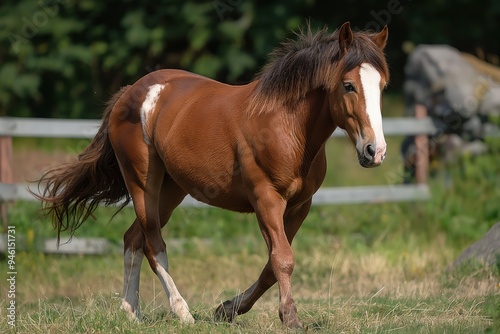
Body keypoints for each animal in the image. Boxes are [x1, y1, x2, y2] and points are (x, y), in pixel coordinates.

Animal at [35, 22, 390, 328]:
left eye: (382, 87)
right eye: (348, 85)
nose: (375, 151)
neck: (285, 126)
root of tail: (130, 93)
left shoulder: (300, 206)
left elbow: (271, 266)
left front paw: (226, 309)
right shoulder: (266, 199)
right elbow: (282, 260)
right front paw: (290, 319)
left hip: (171, 190)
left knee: (132, 238)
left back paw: (131, 312)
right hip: (142, 184)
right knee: (153, 244)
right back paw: (182, 313)